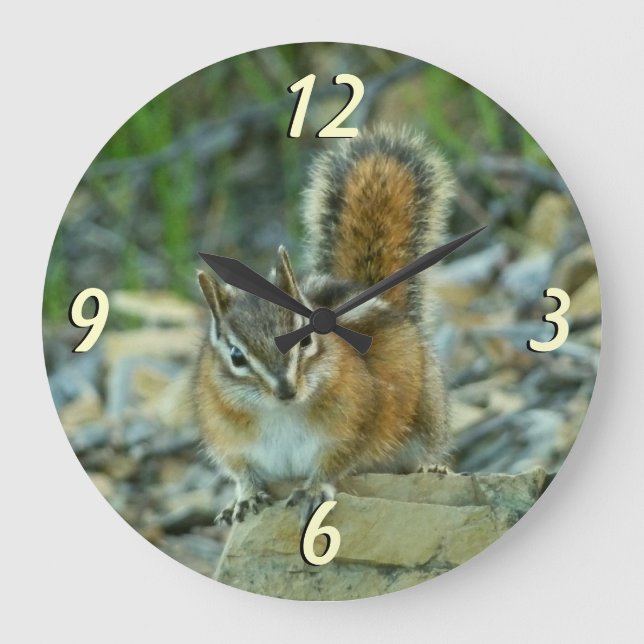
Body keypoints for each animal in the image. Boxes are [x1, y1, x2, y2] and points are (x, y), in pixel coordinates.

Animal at [194, 126, 454, 525]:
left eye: (306, 340)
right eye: (236, 357)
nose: (286, 390)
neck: (281, 414)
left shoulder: (352, 427)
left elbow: (334, 462)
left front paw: (313, 488)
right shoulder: (228, 439)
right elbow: (242, 472)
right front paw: (244, 498)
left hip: (427, 413)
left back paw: (432, 467)